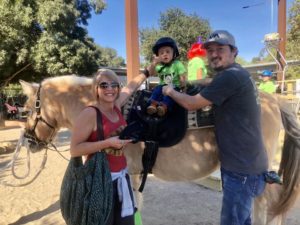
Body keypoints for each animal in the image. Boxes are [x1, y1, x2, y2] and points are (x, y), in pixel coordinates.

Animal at [19, 76, 300, 225]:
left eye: (30, 109)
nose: (29, 141)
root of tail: (274, 101)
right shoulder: (132, 175)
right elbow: (135, 206)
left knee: (265, 206)